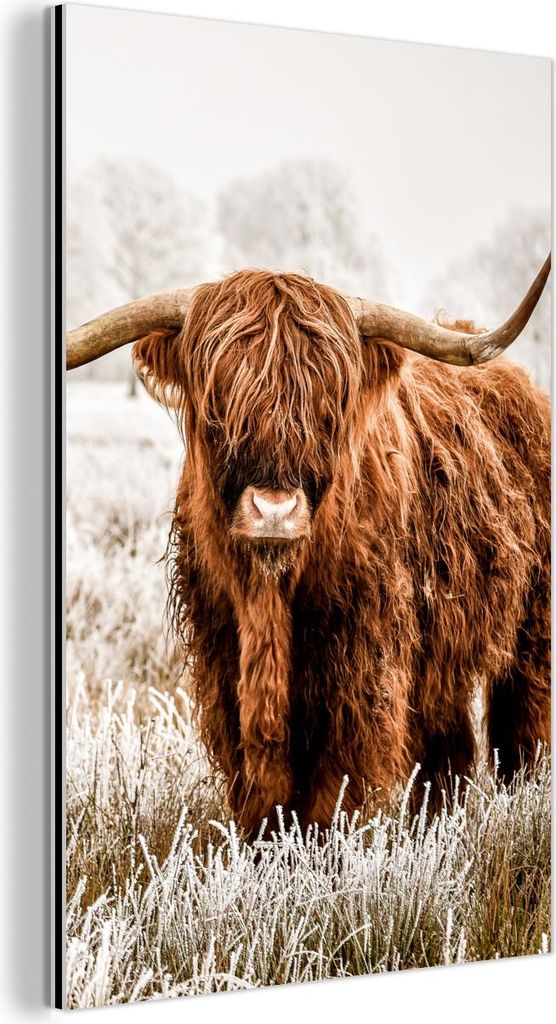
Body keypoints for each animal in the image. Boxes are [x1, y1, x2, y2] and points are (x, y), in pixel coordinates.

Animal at [66, 256, 551, 838]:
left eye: (328, 408)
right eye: (218, 403)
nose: (274, 510)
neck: (270, 597)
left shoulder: (361, 664)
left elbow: (336, 785)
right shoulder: (224, 659)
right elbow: (260, 784)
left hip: (533, 625)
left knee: (522, 721)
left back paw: (519, 799)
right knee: (447, 739)